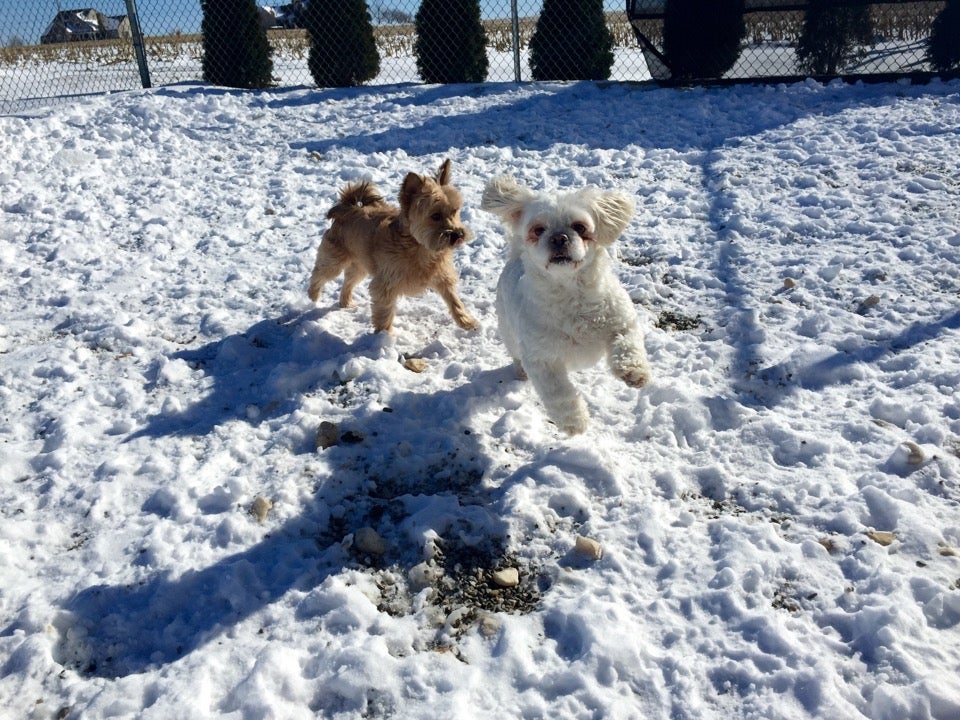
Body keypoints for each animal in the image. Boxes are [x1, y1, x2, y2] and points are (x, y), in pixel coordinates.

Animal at [308, 159, 479, 334]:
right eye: (435, 216)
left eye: (455, 211)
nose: (458, 235)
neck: (421, 248)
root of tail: (348, 208)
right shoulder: (385, 284)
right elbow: (384, 312)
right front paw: (384, 336)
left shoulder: (443, 277)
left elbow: (454, 300)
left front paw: (466, 321)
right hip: (334, 260)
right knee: (319, 274)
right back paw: (313, 295)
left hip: (360, 266)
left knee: (348, 281)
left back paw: (345, 302)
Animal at [481, 176, 652, 435]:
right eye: (538, 230)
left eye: (580, 227)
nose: (559, 237)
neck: (571, 292)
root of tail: (516, 254)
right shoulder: (542, 359)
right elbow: (559, 394)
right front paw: (574, 421)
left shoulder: (622, 322)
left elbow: (627, 345)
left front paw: (633, 371)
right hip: (508, 332)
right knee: (516, 355)